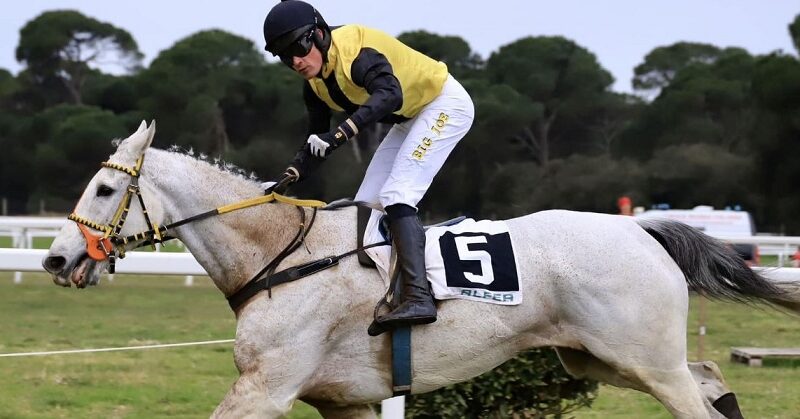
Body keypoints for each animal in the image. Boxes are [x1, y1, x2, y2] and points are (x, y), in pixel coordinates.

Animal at [43, 120, 792, 418]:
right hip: (604, 357)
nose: (55, 257)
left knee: (696, 398)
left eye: (103, 190)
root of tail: (639, 227)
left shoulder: (266, 388)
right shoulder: (344, 399)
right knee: (710, 378)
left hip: (643, 357)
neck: (282, 255)